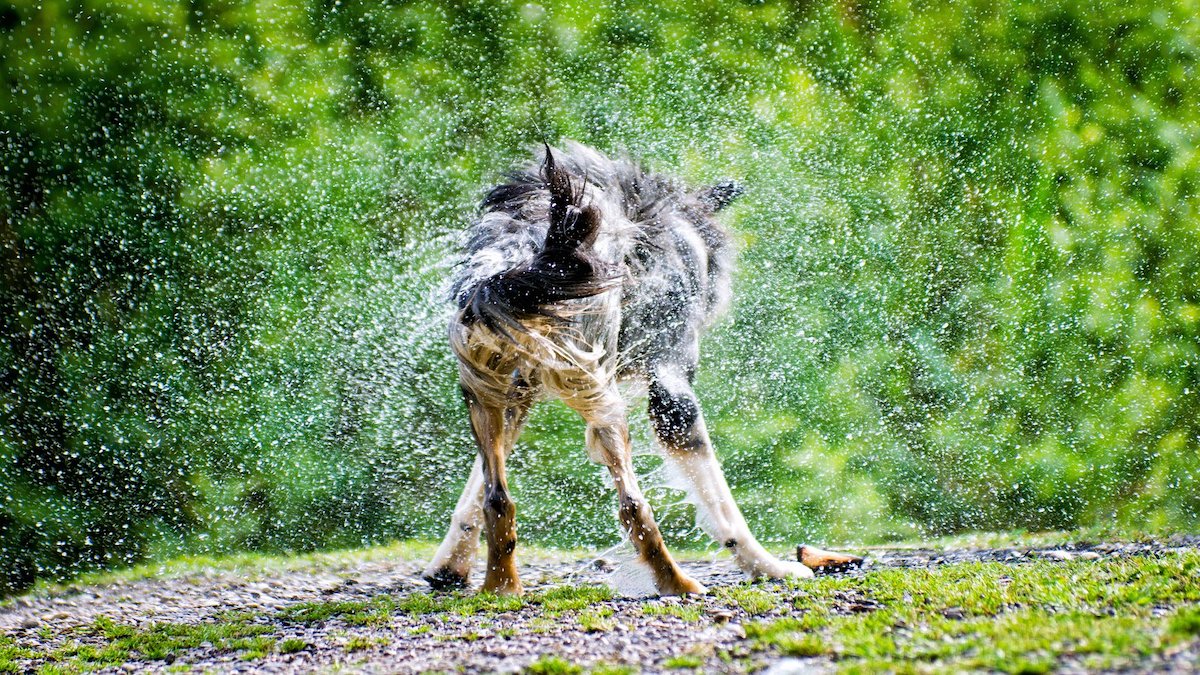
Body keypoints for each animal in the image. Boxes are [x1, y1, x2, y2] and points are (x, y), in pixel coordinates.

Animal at [422, 141, 825, 593]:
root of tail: (534, 243)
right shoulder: (671, 385)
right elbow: (722, 504)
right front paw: (768, 567)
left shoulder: (517, 389)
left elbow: (474, 491)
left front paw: (450, 565)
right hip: (604, 399)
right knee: (634, 506)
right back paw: (676, 583)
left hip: (493, 387)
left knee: (498, 497)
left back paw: (502, 585)